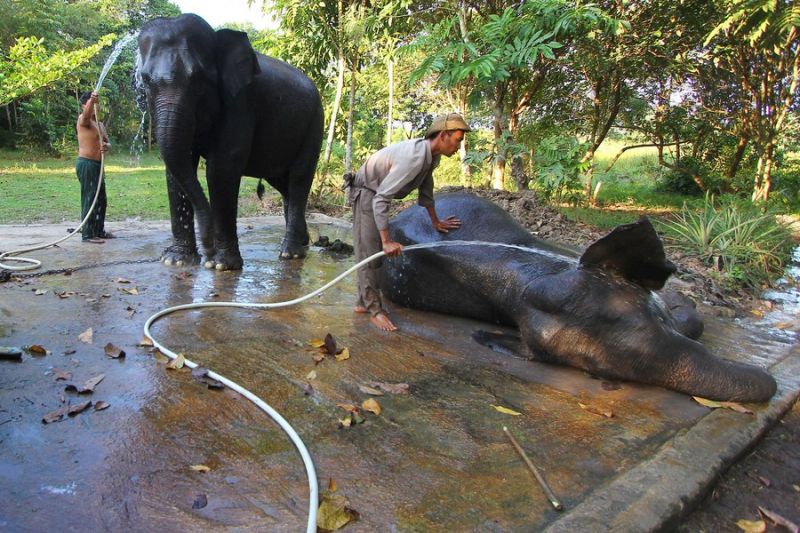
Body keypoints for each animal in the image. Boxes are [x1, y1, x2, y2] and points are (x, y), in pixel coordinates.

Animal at [136, 15, 324, 268]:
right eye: (145, 81)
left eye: (198, 79)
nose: (207, 250)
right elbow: (178, 167)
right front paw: (176, 260)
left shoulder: (240, 102)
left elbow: (222, 168)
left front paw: (220, 265)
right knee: (283, 184)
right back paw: (304, 242)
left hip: (315, 122)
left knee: (299, 178)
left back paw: (291, 253)